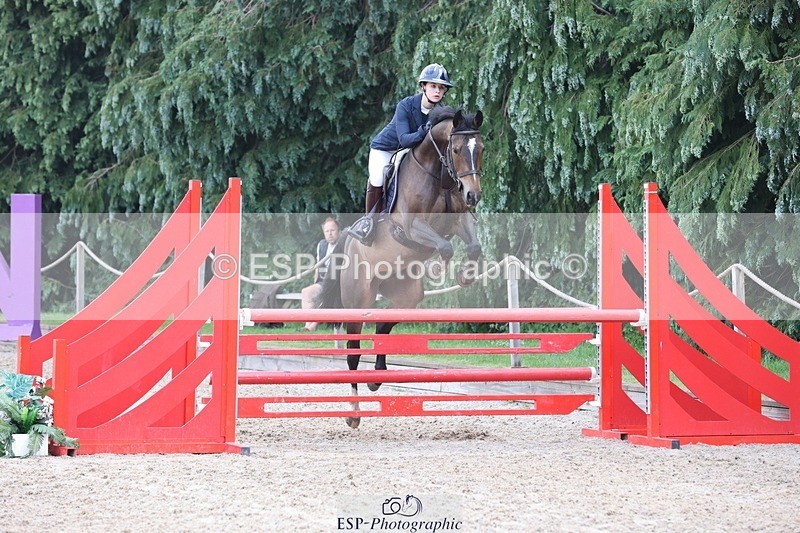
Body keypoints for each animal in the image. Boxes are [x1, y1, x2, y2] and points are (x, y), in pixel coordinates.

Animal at [317, 106, 484, 428]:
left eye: (480, 149)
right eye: (456, 149)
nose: (473, 195)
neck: (439, 175)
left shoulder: (459, 220)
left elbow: (473, 246)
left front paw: (465, 276)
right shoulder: (410, 228)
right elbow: (444, 247)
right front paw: (440, 268)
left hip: (406, 294)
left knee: (384, 322)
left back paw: (377, 376)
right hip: (358, 299)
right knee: (353, 354)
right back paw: (353, 412)